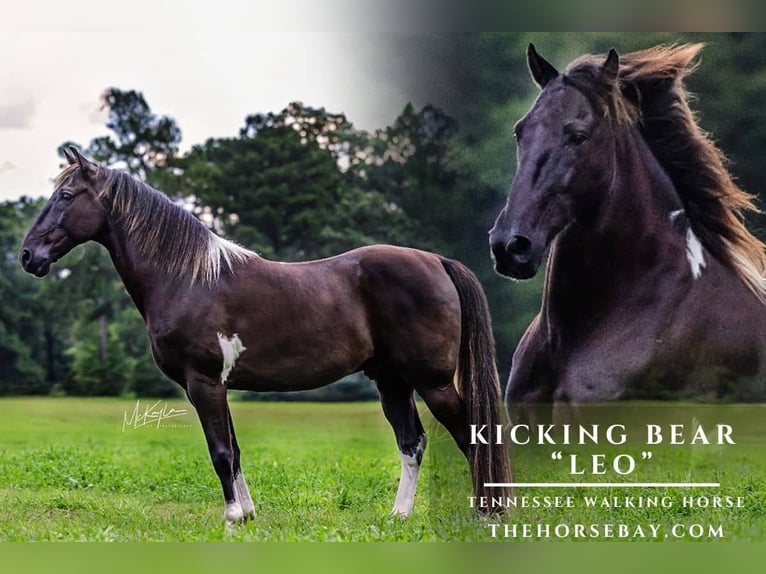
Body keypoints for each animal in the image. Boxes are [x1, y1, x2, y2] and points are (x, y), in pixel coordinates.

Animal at [20, 148, 511, 523]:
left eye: (66, 195)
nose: (27, 255)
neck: (188, 279)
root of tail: (437, 261)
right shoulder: (216, 385)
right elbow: (235, 450)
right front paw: (249, 515)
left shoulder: (203, 382)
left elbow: (220, 451)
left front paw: (232, 518)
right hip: (393, 381)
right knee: (412, 443)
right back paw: (400, 516)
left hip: (433, 382)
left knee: (471, 436)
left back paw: (487, 513)